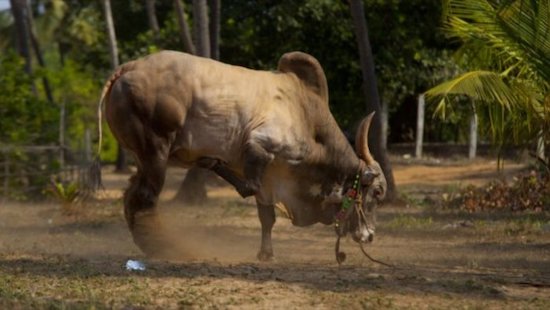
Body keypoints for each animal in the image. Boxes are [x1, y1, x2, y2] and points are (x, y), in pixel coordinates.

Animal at [99, 50, 390, 262]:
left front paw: (266, 254)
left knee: (131, 196)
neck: (308, 119)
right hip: (156, 152)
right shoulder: (260, 147)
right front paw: (211, 160)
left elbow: (267, 217)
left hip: (142, 158)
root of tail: (130, 68)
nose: (370, 236)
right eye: (376, 192)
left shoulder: (271, 178)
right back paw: (163, 247)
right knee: (144, 199)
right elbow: (248, 187)